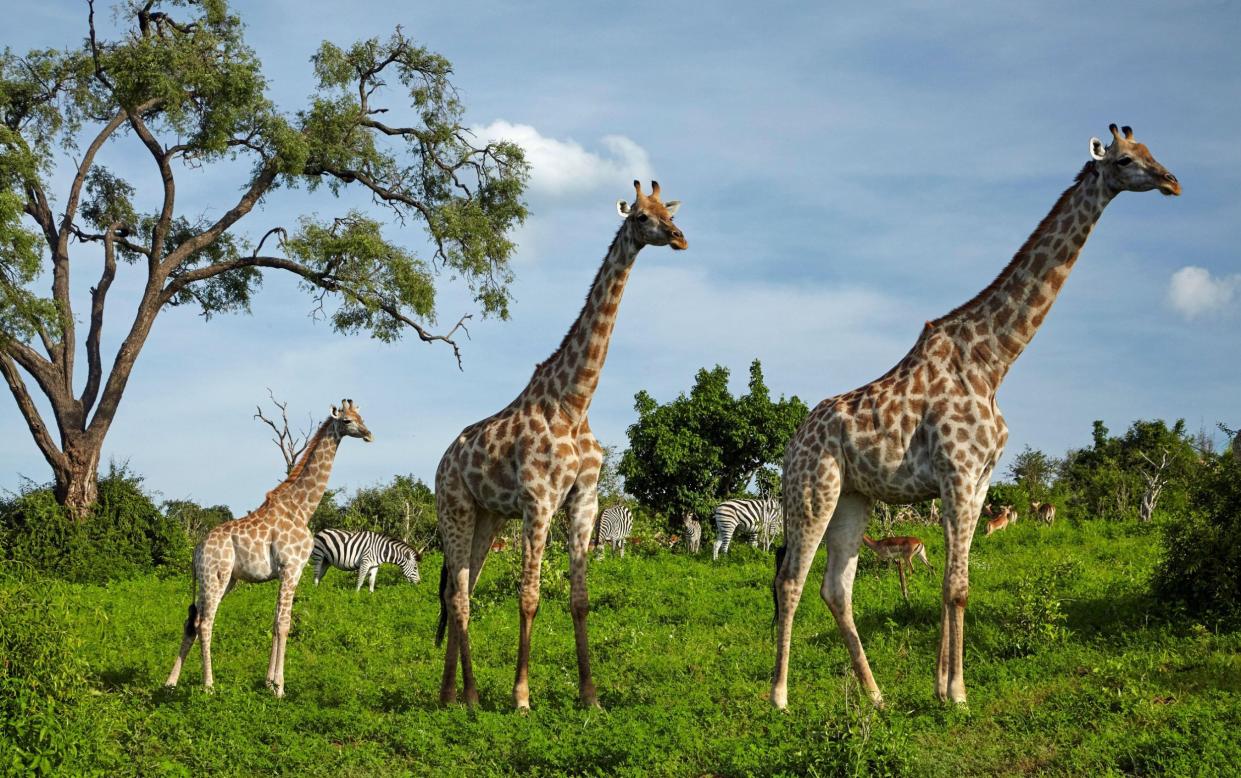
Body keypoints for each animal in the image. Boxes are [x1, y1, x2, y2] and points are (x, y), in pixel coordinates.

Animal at [163, 399, 372, 694]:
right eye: (347, 421)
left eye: (362, 417)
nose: (368, 434)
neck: (302, 509)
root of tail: (196, 550)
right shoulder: (292, 568)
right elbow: (284, 624)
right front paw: (280, 687)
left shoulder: (284, 572)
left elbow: (274, 622)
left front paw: (269, 682)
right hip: (216, 575)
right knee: (205, 623)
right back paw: (208, 685)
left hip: (221, 580)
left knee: (191, 621)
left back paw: (171, 682)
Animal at [434, 179, 689, 709]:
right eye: (641, 216)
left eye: (669, 211)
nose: (679, 237)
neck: (575, 400)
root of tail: (442, 463)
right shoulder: (539, 499)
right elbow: (529, 595)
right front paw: (521, 697)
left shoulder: (583, 499)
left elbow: (580, 598)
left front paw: (590, 694)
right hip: (455, 509)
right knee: (460, 595)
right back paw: (469, 695)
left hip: (487, 518)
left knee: (461, 588)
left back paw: (452, 694)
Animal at [769, 123, 1176, 714]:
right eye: (1125, 160)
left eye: (1150, 151)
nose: (1171, 181)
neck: (994, 360)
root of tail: (790, 445)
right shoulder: (958, 473)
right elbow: (956, 586)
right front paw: (958, 694)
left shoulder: (979, 479)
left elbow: (953, 583)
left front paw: (941, 687)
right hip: (811, 491)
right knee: (790, 581)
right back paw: (778, 697)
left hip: (853, 497)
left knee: (836, 588)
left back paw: (876, 695)